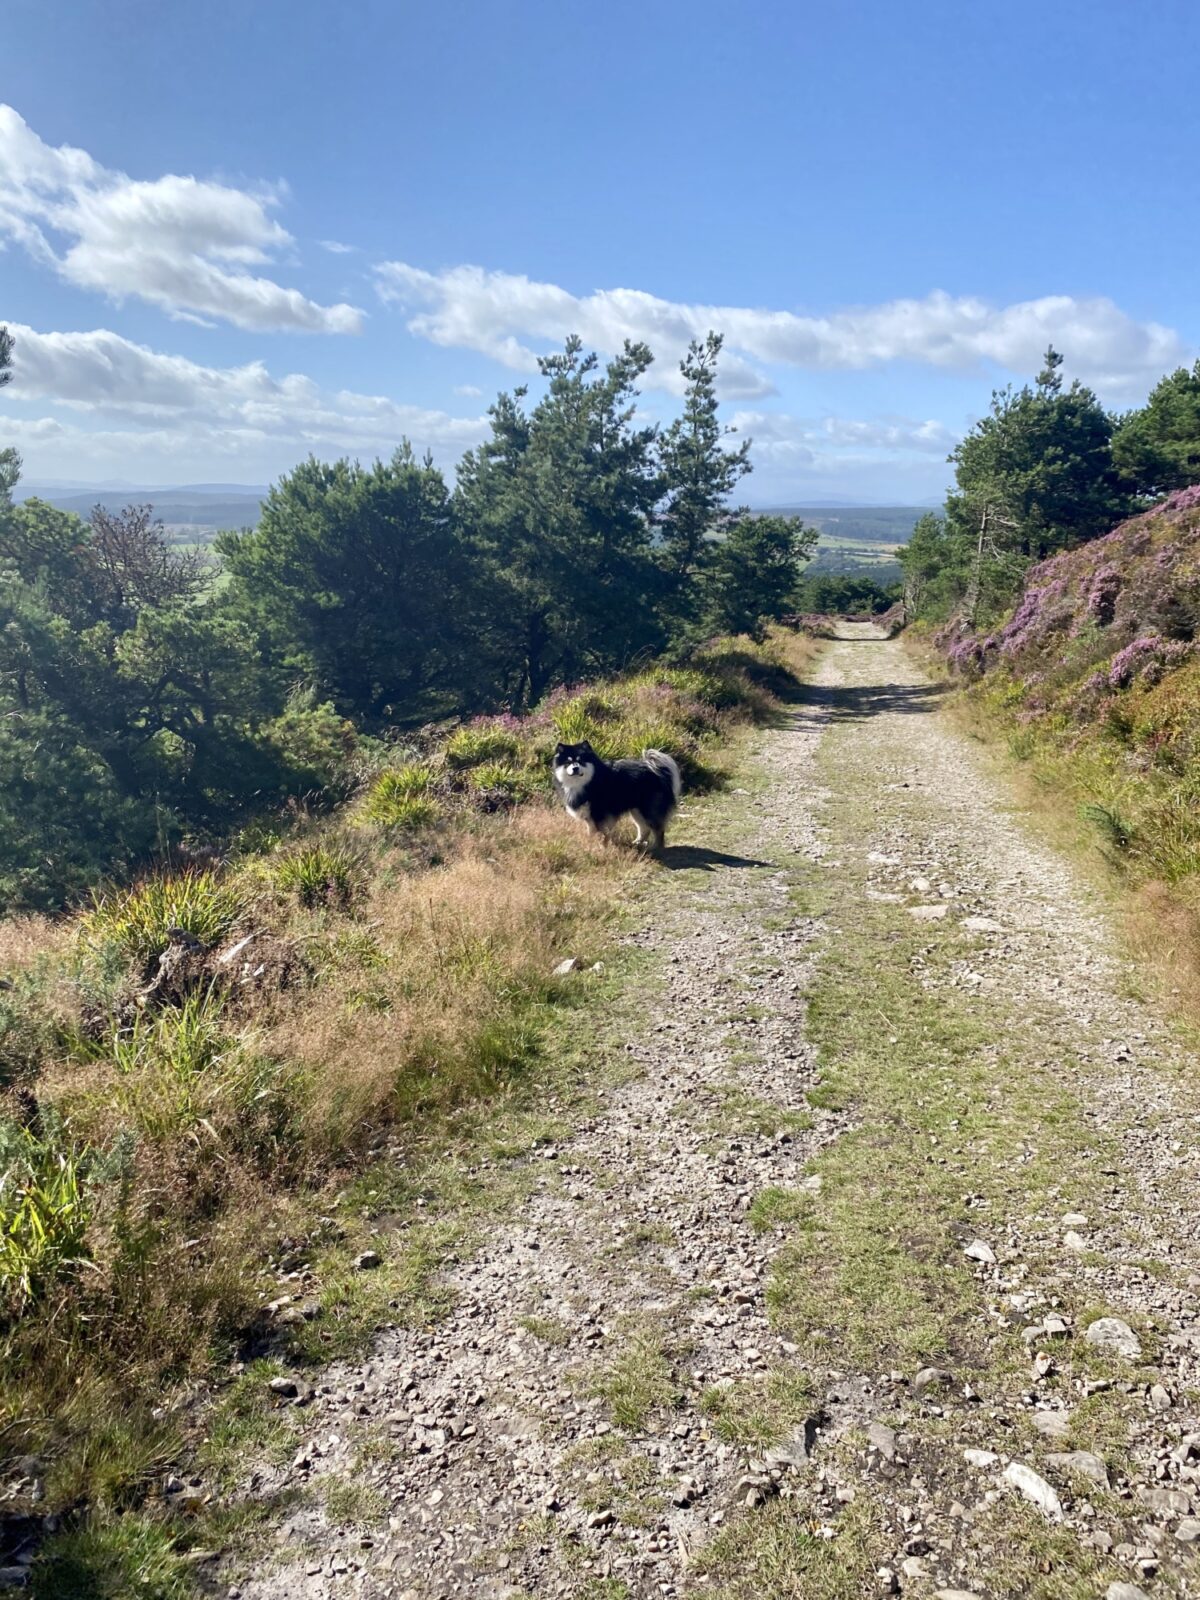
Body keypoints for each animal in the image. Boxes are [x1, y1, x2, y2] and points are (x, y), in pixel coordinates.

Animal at [553, 742, 684, 857]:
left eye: (581, 761)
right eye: (568, 762)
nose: (575, 768)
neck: (588, 781)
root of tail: (655, 769)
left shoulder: (600, 815)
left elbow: (602, 834)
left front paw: (601, 848)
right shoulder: (589, 817)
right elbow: (592, 833)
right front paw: (590, 845)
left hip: (649, 809)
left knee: (658, 830)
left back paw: (656, 847)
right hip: (636, 811)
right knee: (644, 828)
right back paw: (637, 843)